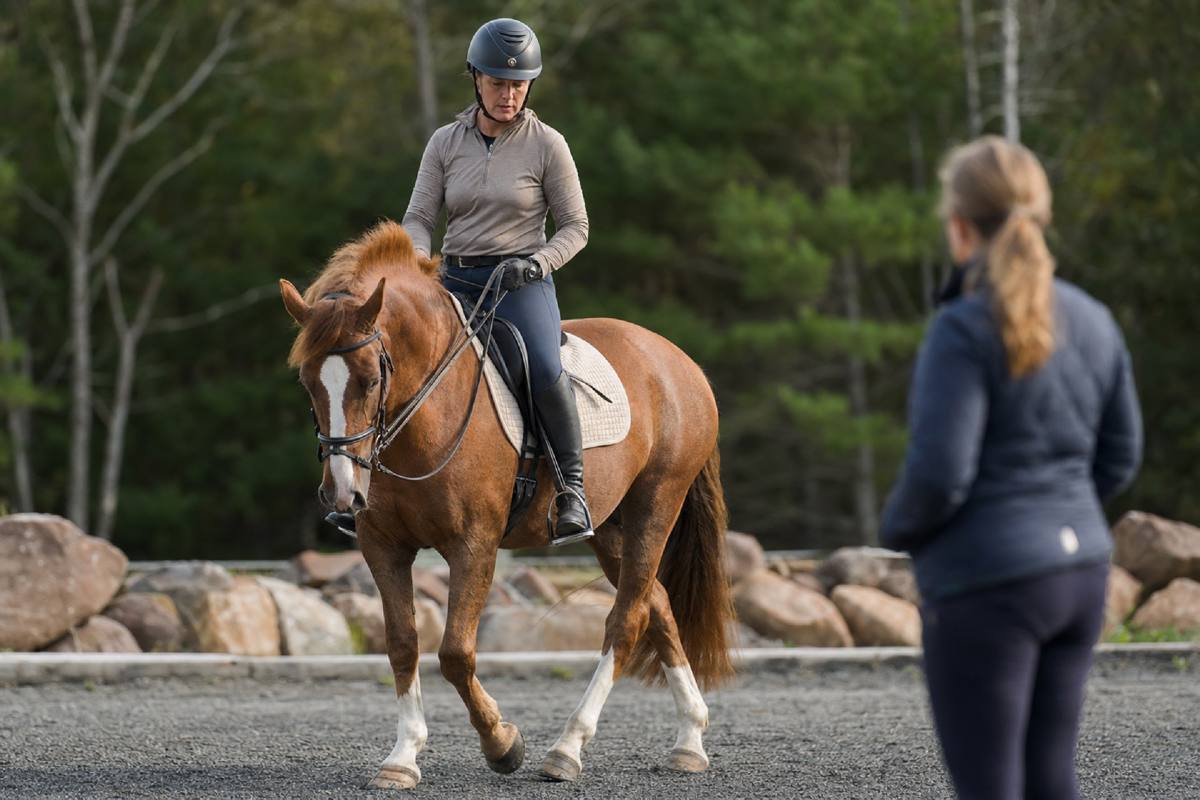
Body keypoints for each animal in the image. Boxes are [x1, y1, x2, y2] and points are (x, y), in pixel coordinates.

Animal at [279, 220, 733, 789]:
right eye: (307, 382)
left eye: (371, 378)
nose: (343, 492)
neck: (422, 413)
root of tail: (678, 360)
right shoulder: (383, 546)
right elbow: (403, 643)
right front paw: (402, 757)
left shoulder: (474, 544)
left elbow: (455, 652)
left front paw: (502, 744)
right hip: (610, 528)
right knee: (659, 606)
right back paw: (689, 740)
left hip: (657, 504)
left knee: (625, 621)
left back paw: (567, 749)